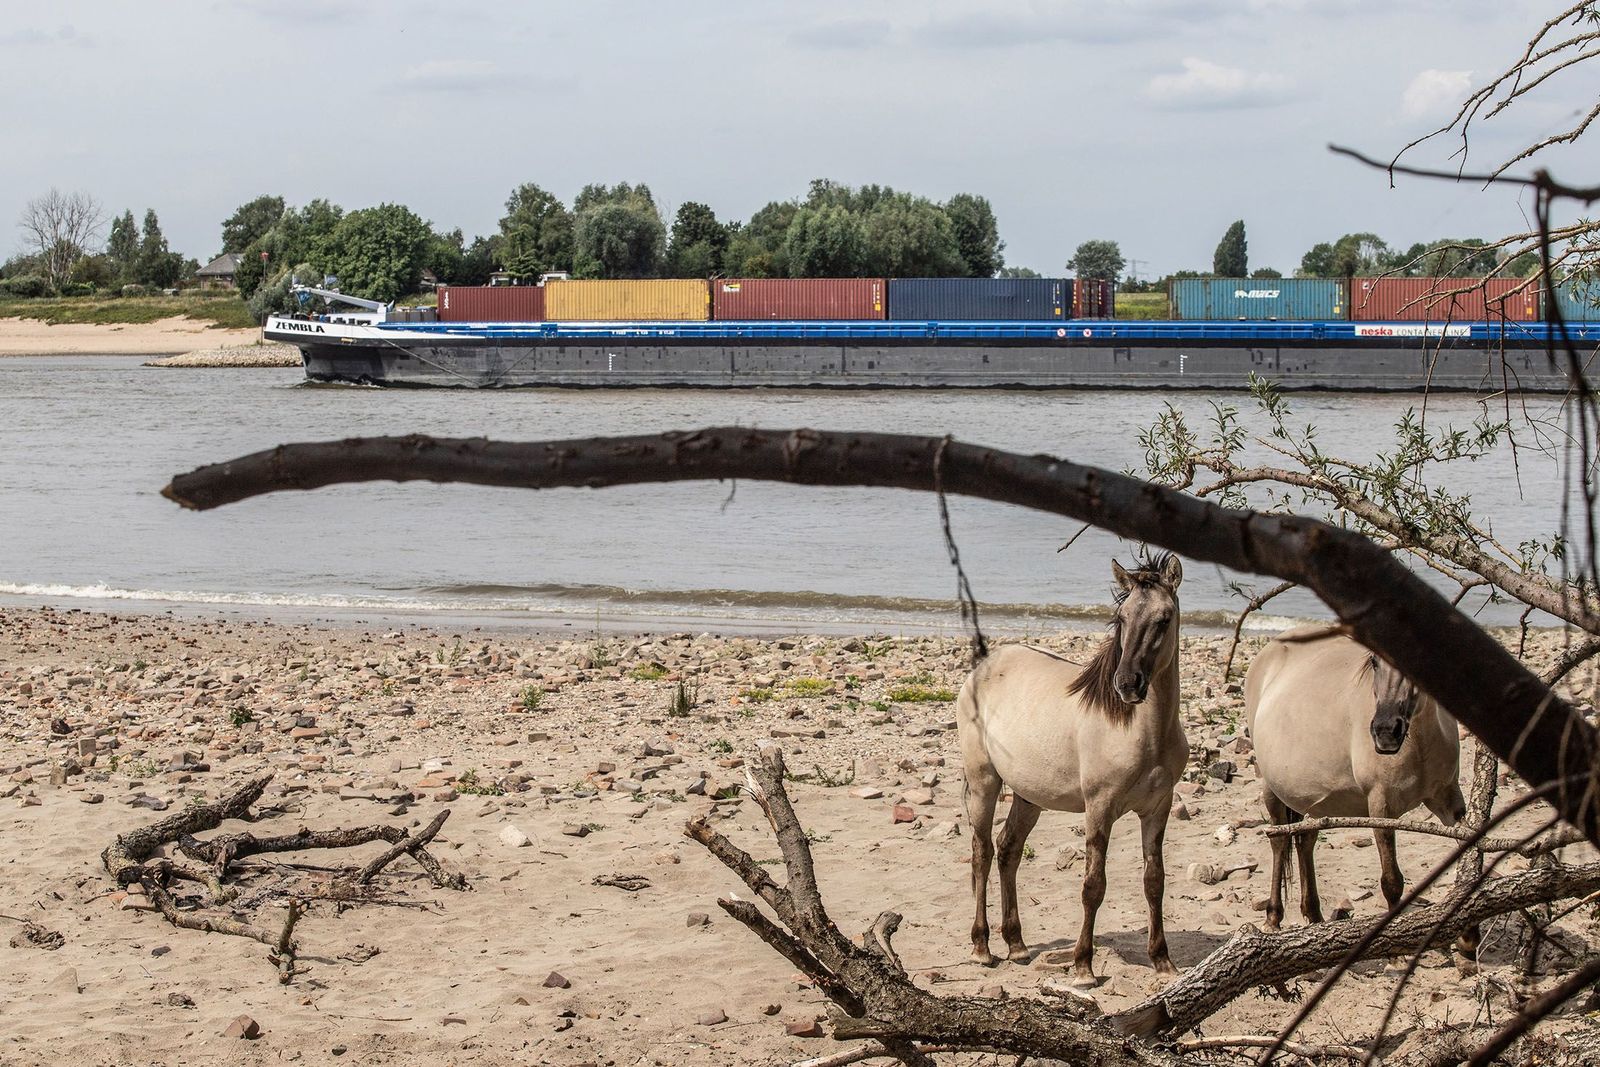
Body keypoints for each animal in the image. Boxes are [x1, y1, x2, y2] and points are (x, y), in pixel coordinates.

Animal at [947, 556, 1190, 991]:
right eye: (1122, 617)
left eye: (1164, 619)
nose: (1128, 684)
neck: (1141, 731)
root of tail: (982, 668)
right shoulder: (1100, 808)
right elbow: (1093, 886)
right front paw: (1082, 967)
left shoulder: (1158, 808)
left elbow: (1154, 882)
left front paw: (1163, 962)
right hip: (983, 782)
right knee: (982, 852)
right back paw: (982, 948)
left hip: (1029, 796)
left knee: (1008, 850)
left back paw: (1017, 945)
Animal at [1241, 627, 1465, 927]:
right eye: (1374, 661)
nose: (1385, 731)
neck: (1418, 744)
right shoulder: (1381, 806)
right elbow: (1391, 881)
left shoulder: (1449, 799)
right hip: (1273, 788)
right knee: (1280, 840)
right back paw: (1274, 917)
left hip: (1310, 797)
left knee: (1305, 841)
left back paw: (1314, 914)